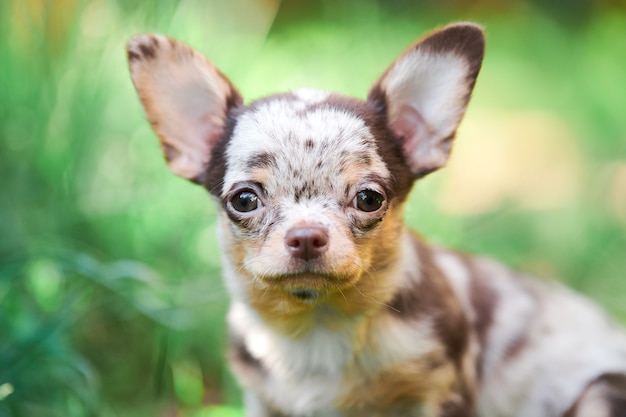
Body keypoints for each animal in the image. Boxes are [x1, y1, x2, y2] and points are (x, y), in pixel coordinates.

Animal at [127, 24, 624, 416]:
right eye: (245, 200)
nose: (305, 236)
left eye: (369, 199)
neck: (318, 327)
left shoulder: (444, 392)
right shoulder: (263, 400)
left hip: (600, 392)